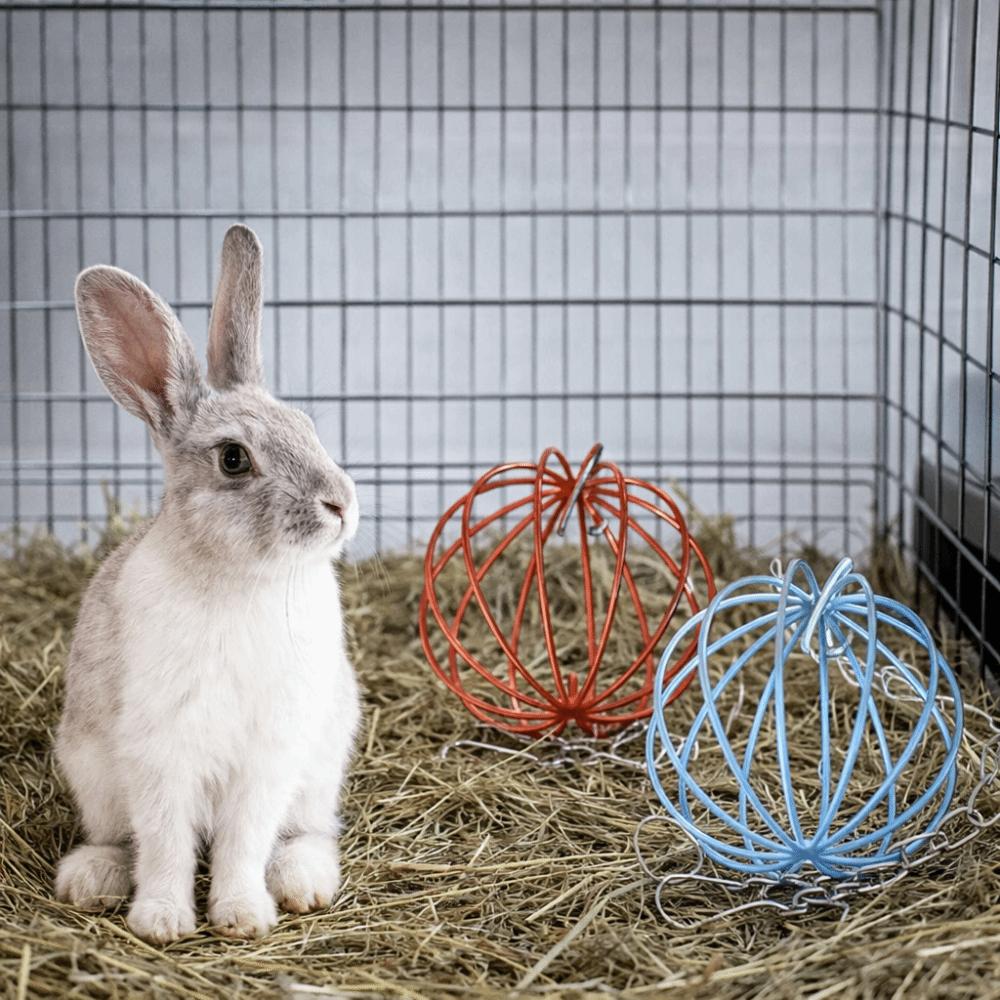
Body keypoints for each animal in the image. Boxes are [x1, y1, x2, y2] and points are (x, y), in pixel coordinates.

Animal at [53, 224, 361, 944]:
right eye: (233, 459)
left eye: (308, 427)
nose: (342, 504)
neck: (241, 577)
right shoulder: (162, 751)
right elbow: (166, 843)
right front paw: (163, 921)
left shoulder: (268, 755)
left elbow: (243, 841)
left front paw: (243, 916)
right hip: (92, 774)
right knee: (122, 839)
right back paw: (92, 878)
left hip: (320, 767)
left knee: (308, 833)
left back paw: (303, 882)